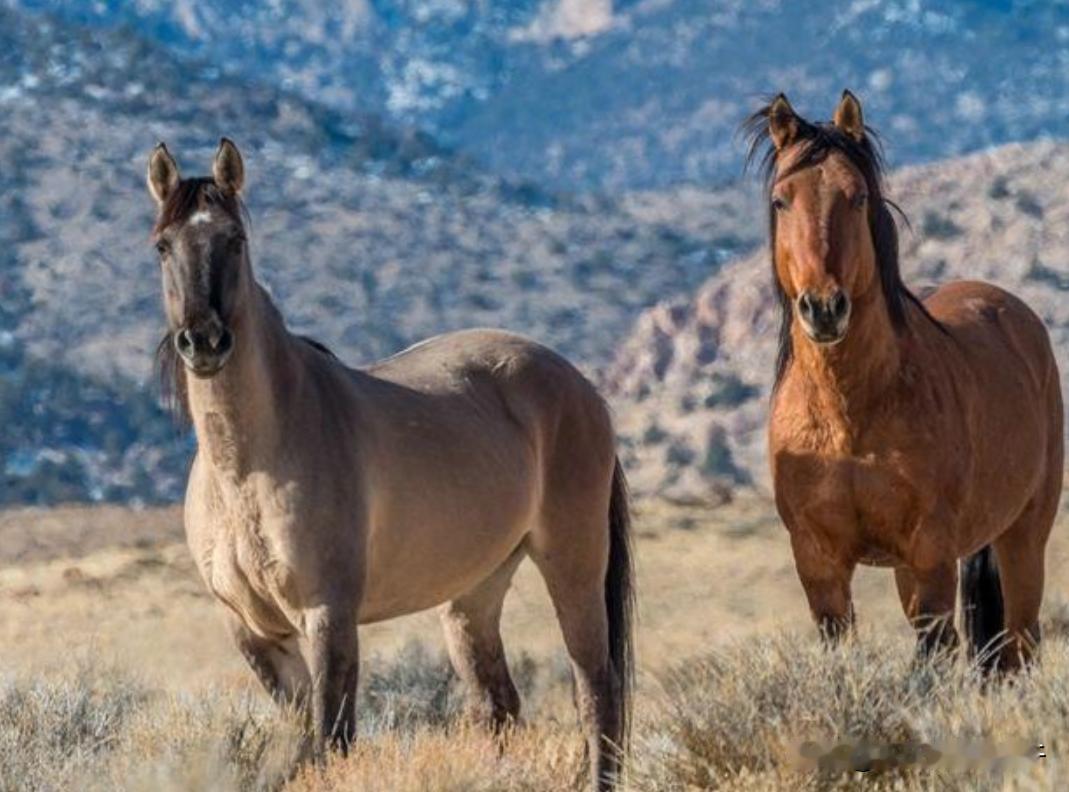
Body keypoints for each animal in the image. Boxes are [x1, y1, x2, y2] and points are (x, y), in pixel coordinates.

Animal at [148, 138, 632, 786]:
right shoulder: (256, 633)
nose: (203, 341)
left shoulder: (328, 617)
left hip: (572, 563)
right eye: (163, 244)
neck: (248, 468)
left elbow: (331, 741)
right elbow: (305, 741)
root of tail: (581, 386)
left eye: (236, 239)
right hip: (475, 593)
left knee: (595, 689)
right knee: (498, 706)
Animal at [748, 92, 1064, 671]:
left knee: (1019, 644)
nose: (823, 308)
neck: (849, 412)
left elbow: (935, 654)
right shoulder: (819, 561)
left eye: (855, 197)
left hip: (1023, 535)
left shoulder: (931, 553)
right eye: (782, 200)